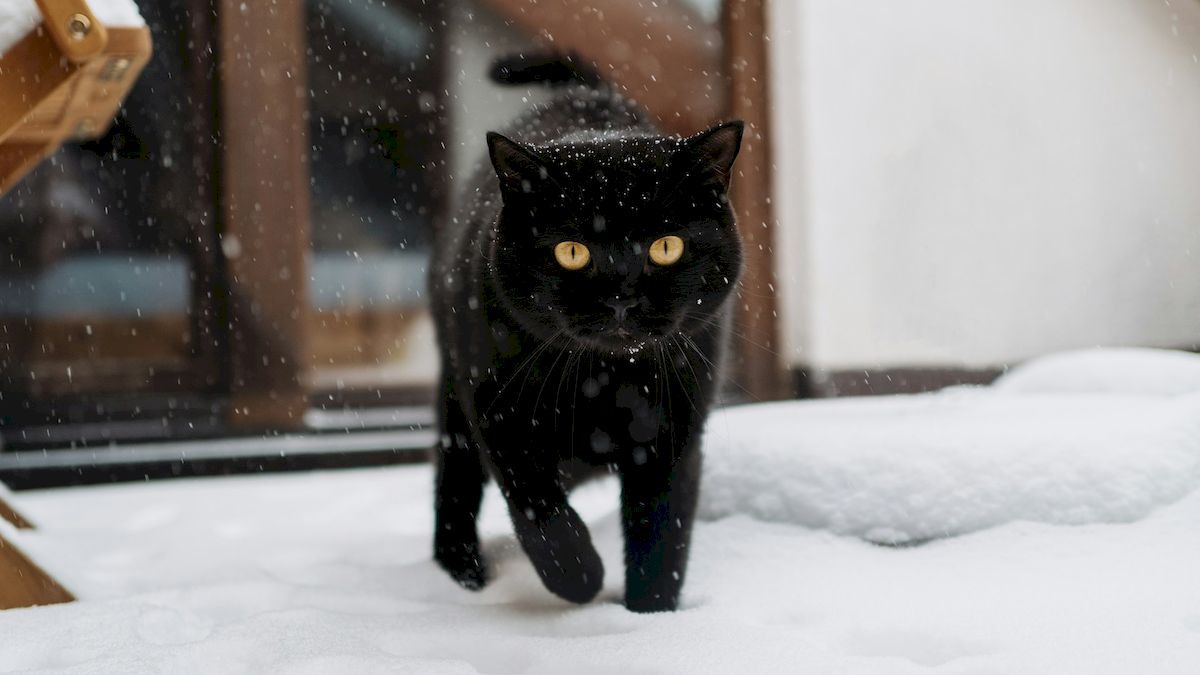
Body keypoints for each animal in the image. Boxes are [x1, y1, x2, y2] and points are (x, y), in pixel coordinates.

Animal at [432, 57, 744, 610]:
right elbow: (540, 510)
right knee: (456, 483)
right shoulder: (499, 414)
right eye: (572, 252)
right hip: (455, 395)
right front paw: (578, 578)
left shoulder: (674, 433)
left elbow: (661, 537)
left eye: (666, 246)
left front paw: (650, 617)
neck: (605, 382)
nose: (621, 296)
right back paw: (463, 572)